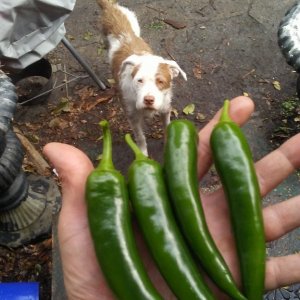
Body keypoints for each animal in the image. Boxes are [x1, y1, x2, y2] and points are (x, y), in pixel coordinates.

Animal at [96, 0, 185, 155]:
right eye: (139, 81)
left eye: (160, 81)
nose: (148, 100)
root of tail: (111, 7)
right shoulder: (132, 117)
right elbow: (140, 137)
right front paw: (142, 154)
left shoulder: (165, 109)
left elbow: (167, 126)